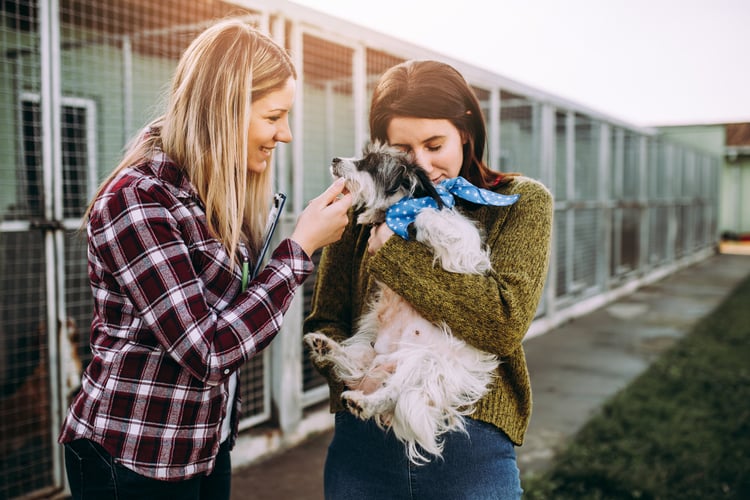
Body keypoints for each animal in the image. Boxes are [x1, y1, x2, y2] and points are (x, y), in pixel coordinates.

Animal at [306, 141, 506, 464]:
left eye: (370, 163)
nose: (336, 159)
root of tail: (392, 361)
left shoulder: (460, 249)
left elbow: (428, 216)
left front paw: (411, 218)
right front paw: (372, 216)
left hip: (424, 364)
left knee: (394, 394)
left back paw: (365, 402)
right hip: (371, 352)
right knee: (356, 366)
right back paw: (326, 347)